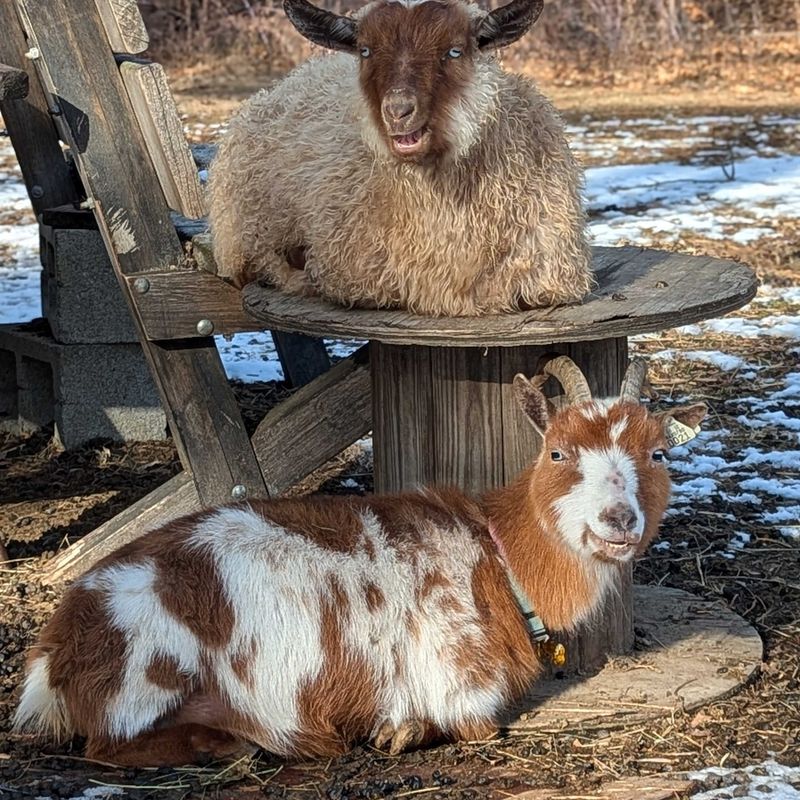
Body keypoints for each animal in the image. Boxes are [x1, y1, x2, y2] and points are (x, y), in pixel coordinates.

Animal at [15, 358, 708, 768]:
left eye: (658, 454)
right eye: (559, 452)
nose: (618, 521)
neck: (498, 557)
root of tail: (55, 650)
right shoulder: (459, 680)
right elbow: (475, 726)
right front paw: (397, 730)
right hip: (147, 675)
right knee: (107, 747)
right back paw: (237, 739)